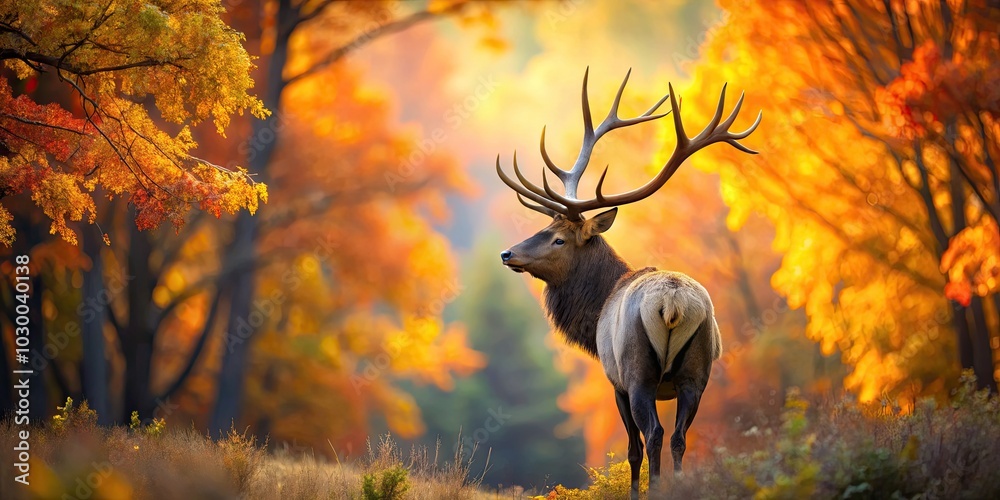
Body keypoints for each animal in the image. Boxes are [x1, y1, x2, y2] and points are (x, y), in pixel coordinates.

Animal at [496, 68, 760, 497]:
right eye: (546, 227)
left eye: (559, 238)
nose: (507, 254)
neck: (597, 308)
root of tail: (672, 303)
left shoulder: (614, 379)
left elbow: (632, 449)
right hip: (696, 374)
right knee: (679, 437)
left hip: (638, 372)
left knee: (653, 435)